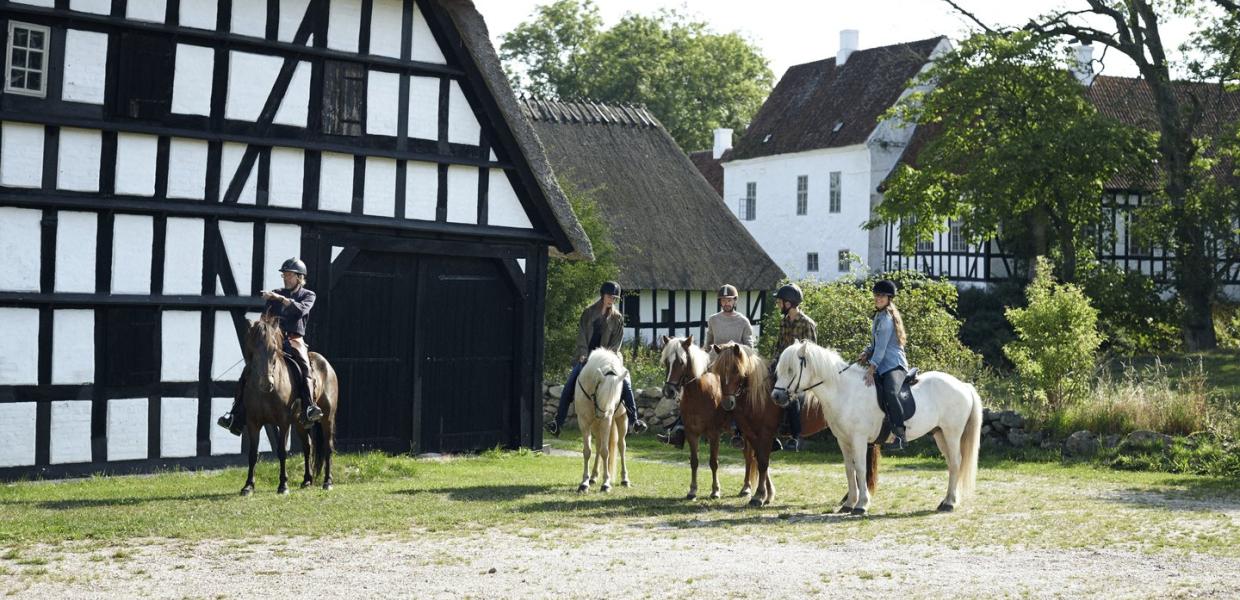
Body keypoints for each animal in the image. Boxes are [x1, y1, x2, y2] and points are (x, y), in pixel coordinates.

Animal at [239, 316, 339, 493]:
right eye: (253, 349)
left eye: (273, 349)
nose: (266, 384)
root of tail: (326, 364)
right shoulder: (253, 422)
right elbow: (253, 453)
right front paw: (248, 486)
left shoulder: (283, 422)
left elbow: (282, 451)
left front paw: (283, 485)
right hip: (300, 423)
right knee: (308, 446)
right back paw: (307, 480)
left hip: (327, 418)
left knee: (328, 447)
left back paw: (327, 481)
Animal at [570, 347, 629, 493]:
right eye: (601, 394)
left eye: (617, 396)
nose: (603, 415)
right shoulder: (584, 421)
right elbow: (587, 451)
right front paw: (584, 483)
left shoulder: (607, 422)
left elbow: (605, 451)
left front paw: (606, 483)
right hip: (596, 425)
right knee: (598, 446)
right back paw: (593, 477)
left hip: (621, 419)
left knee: (621, 446)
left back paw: (625, 479)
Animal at [664, 334, 729, 498]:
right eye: (667, 361)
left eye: (681, 362)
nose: (669, 391)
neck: (698, 393)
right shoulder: (691, 433)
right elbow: (694, 461)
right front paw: (692, 490)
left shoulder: (714, 434)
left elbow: (713, 462)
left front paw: (715, 490)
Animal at [709, 342, 882, 505]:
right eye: (718, 371)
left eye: (736, 370)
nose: (727, 403)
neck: (759, 395)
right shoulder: (752, 434)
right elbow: (760, 461)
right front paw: (768, 494)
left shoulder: (765, 433)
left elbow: (763, 463)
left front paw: (759, 496)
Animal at [768, 339, 982, 513]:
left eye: (791, 369)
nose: (776, 397)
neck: (845, 391)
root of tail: (963, 385)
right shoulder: (843, 441)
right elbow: (849, 470)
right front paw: (848, 504)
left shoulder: (859, 440)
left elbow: (861, 469)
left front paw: (861, 505)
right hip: (939, 434)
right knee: (951, 464)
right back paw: (946, 501)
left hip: (952, 433)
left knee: (956, 462)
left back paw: (949, 504)